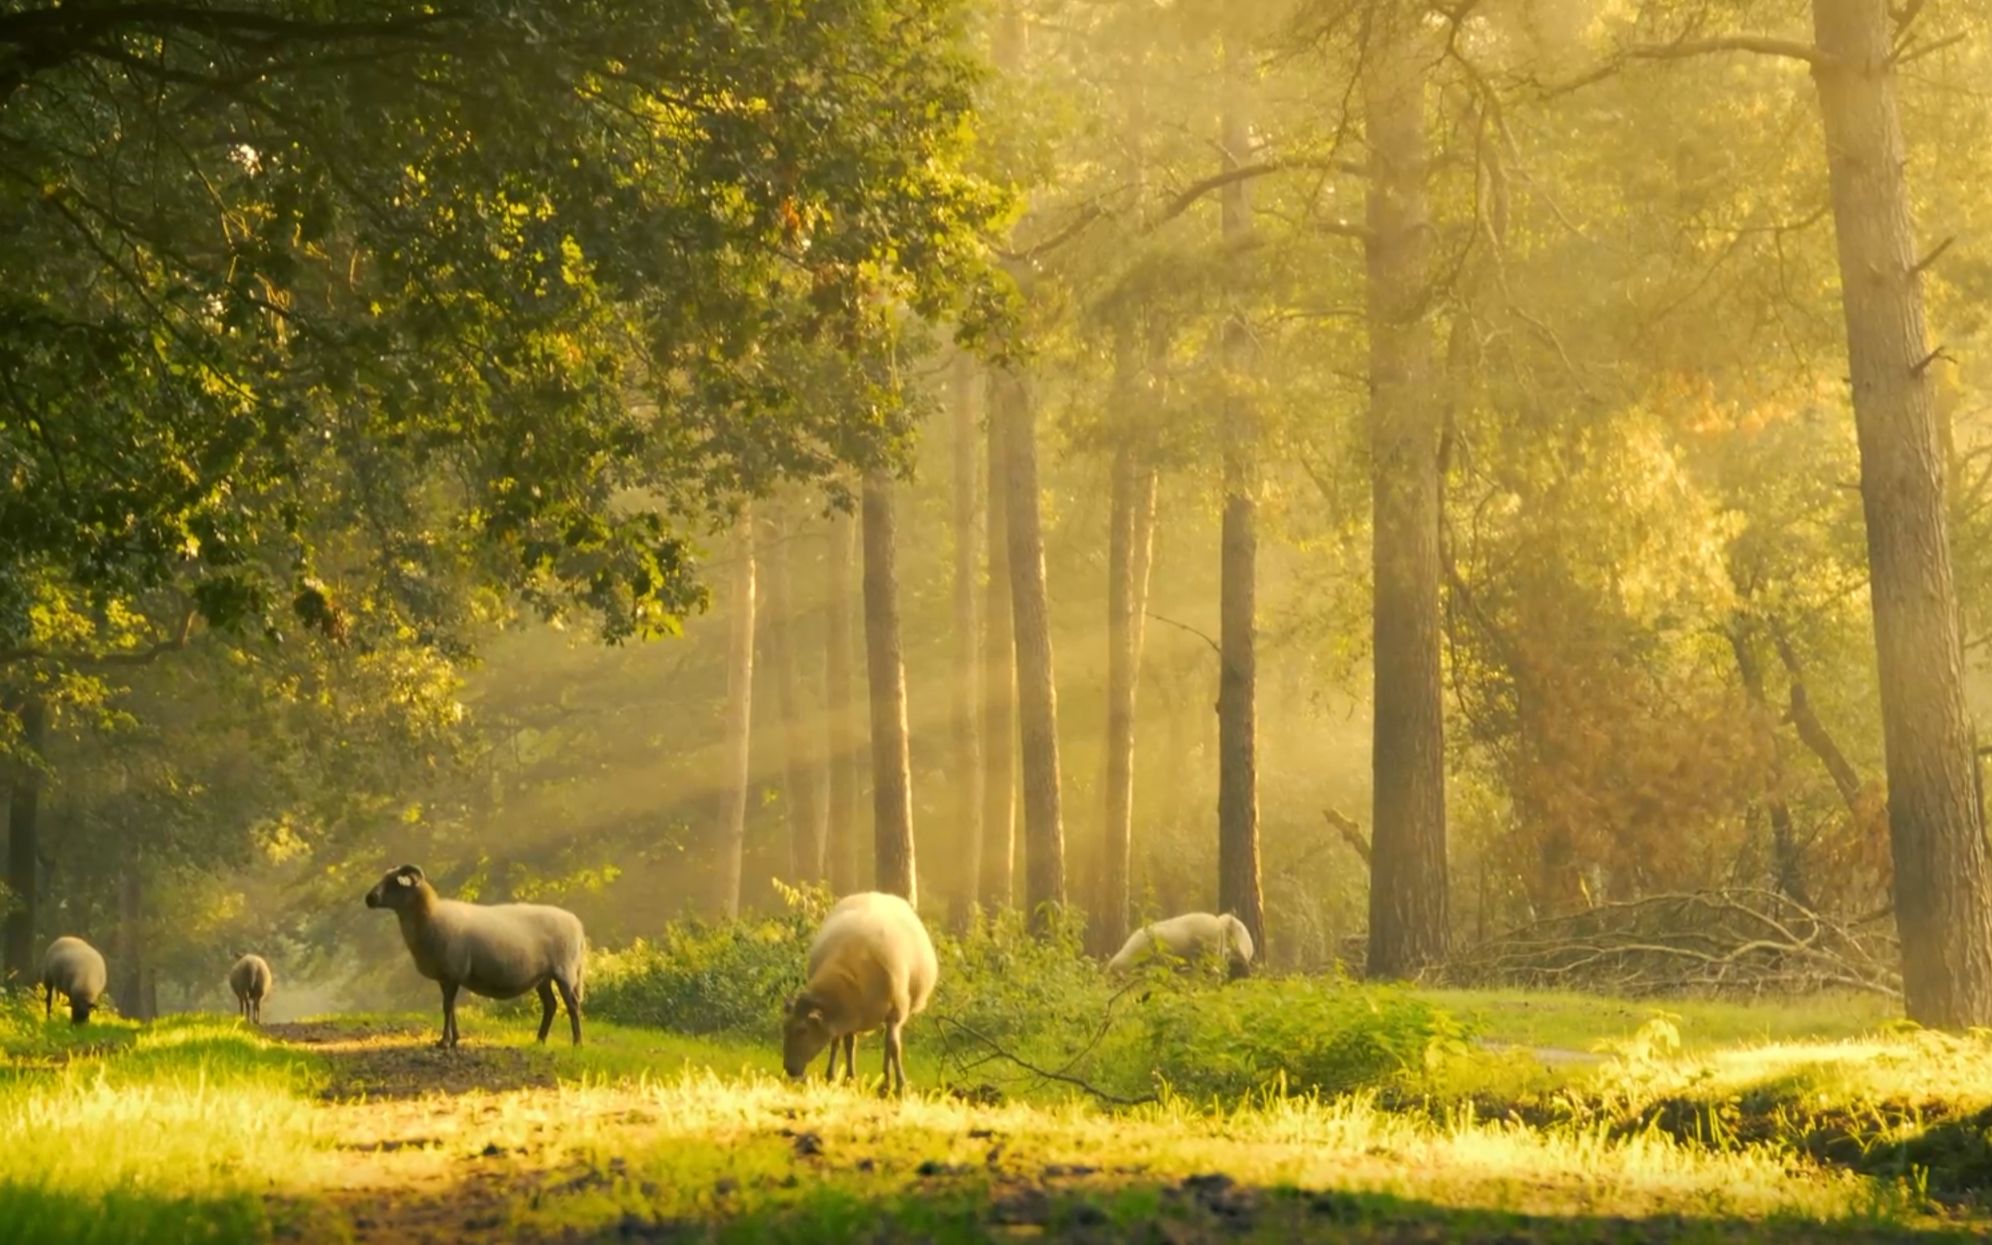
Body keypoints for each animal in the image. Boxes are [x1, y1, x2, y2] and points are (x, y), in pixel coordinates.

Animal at [364, 864, 585, 1051]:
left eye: (394, 882)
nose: (369, 898)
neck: (429, 916)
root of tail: (577, 924)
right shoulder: (445, 976)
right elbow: (450, 1007)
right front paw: (454, 1039)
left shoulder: (452, 972)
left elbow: (447, 1007)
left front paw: (444, 1042)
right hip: (542, 977)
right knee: (551, 1005)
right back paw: (539, 1041)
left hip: (565, 971)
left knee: (572, 1005)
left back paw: (577, 1043)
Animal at [780, 888, 936, 1091]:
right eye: (784, 1027)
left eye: (802, 1030)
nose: (790, 1070)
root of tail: (878, 893)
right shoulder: (846, 1011)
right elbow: (841, 1043)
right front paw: (841, 1077)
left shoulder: (895, 1013)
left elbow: (894, 1048)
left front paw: (901, 1085)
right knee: (850, 1042)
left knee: (888, 1044)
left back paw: (886, 1081)